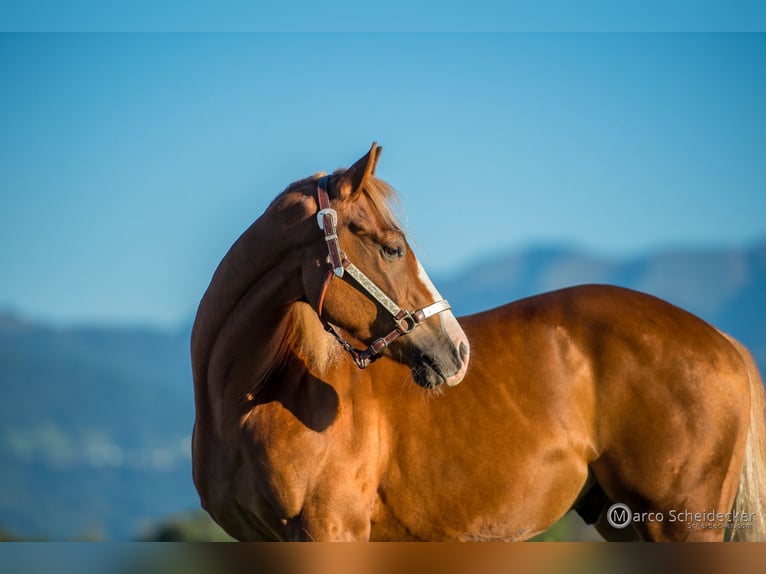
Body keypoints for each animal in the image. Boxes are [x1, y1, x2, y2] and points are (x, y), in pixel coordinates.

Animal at [191, 144, 766, 541]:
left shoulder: (331, 531)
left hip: (680, 523)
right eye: (393, 248)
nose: (458, 350)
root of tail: (726, 343)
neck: (251, 397)